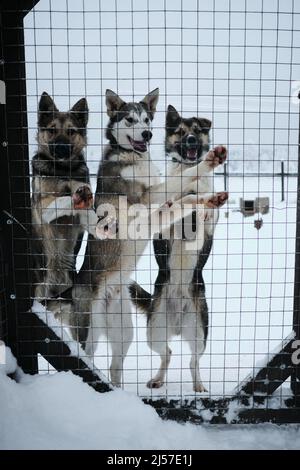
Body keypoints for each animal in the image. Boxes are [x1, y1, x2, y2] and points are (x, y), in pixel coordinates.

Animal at [31, 93, 92, 300]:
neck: (62, 170)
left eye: (71, 131)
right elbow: (58, 200)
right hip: (40, 289)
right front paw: (72, 197)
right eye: (52, 130)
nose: (62, 147)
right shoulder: (43, 206)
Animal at [130, 104, 229, 392]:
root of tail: (176, 323)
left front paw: (207, 205)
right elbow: (175, 204)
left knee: (193, 361)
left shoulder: (210, 227)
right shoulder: (165, 219)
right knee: (168, 353)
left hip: (199, 333)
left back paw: (198, 386)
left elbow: (207, 211)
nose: (192, 141)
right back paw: (158, 379)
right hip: (154, 331)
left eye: (196, 130)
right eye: (181, 132)